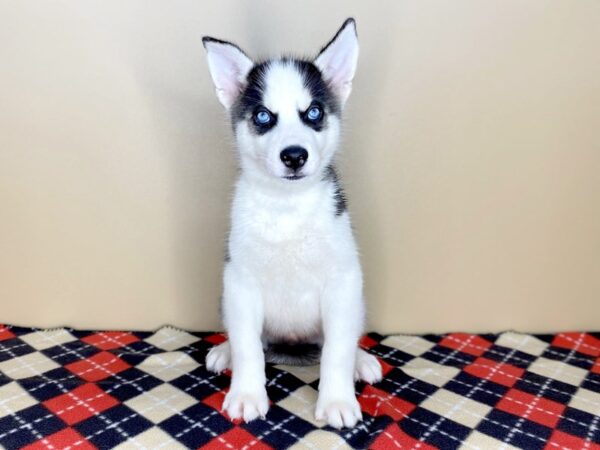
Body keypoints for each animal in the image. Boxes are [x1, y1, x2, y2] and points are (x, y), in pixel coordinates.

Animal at [202, 18, 380, 428]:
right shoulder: (240, 283)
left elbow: (337, 350)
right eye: (263, 116)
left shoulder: (342, 282)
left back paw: (361, 361)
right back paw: (225, 352)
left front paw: (337, 400)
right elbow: (249, 346)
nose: (294, 156)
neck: (288, 210)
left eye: (313, 112)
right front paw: (247, 394)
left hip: (357, 300)